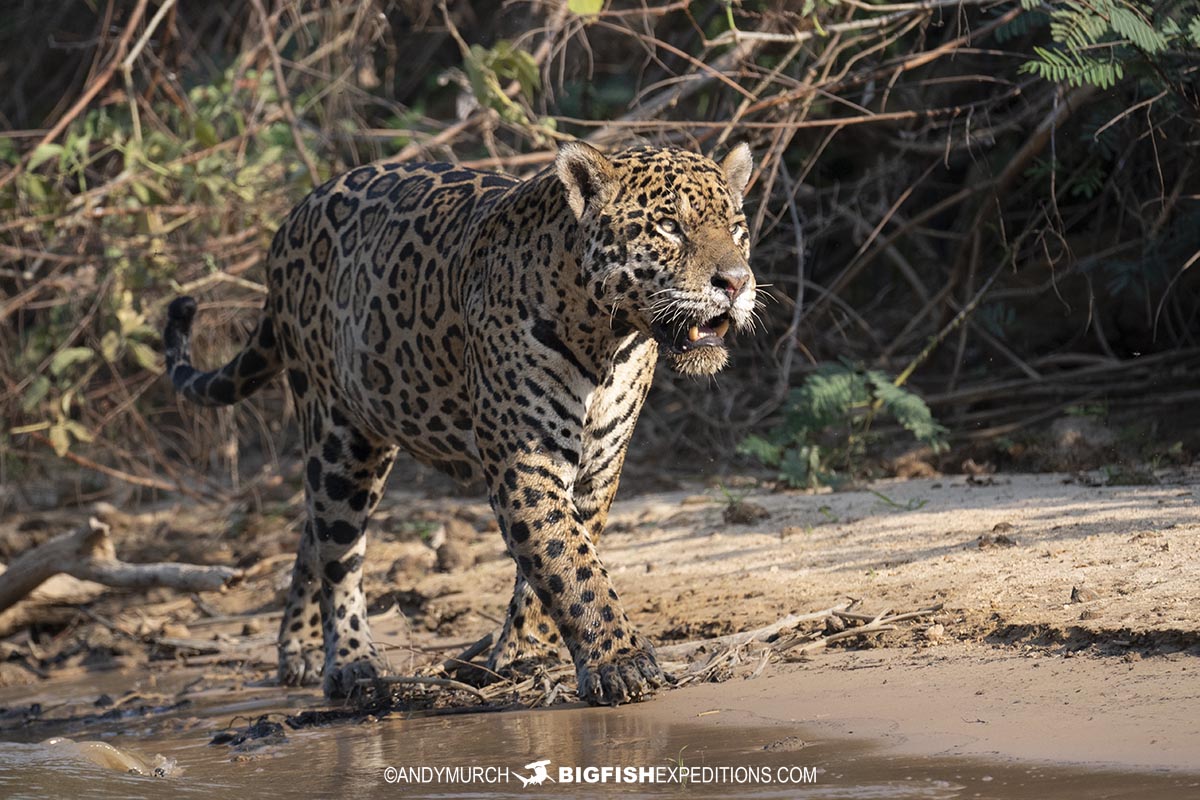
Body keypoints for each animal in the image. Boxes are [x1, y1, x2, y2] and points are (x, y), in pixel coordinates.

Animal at [161, 141, 757, 706]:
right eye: (669, 226)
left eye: (736, 229)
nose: (735, 283)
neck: (607, 341)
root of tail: (293, 216)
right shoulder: (526, 462)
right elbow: (569, 564)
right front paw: (620, 662)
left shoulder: (597, 469)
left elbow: (557, 561)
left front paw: (525, 652)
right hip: (338, 434)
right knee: (337, 549)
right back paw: (350, 662)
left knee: (312, 530)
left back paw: (301, 649)